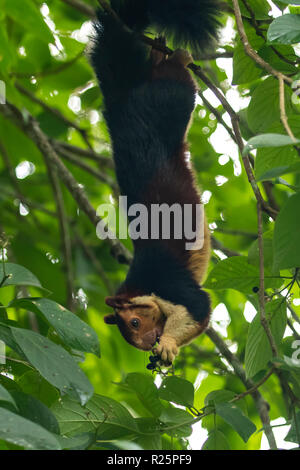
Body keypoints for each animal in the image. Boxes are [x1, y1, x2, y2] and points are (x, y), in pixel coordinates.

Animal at [90, 0, 221, 366]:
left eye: (135, 322)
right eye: (128, 335)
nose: (148, 343)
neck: (143, 287)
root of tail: (120, 106)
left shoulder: (172, 284)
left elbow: (198, 308)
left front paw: (168, 345)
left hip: (168, 102)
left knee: (176, 85)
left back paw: (177, 59)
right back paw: (157, 55)